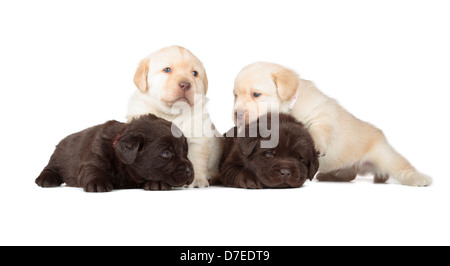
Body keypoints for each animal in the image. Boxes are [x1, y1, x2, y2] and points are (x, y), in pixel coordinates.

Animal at [36, 113, 194, 192]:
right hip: (57, 156)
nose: (190, 170)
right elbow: (92, 170)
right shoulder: (93, 158)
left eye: (185, 151)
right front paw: (98, 183)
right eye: (166, 154)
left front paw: (157, 183)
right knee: (50, 168)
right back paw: (45, 180)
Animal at [127, 45, 221, 187]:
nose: (185, 84)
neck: (172, 113)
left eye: (194, 73)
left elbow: (196, 160)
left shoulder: (198, 139)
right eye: (167, 70)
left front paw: (197, 179)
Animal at [232, 61, 432, 187]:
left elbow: (318, 130)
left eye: (256, 94)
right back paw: (329, 175)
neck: (290, 106)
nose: (237, 114)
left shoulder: (321, 115)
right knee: (350, 173)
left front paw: (317, 145)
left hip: (385, 155)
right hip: (349, 165)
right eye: (235, 95)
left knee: (402, 167)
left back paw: (418, 178)